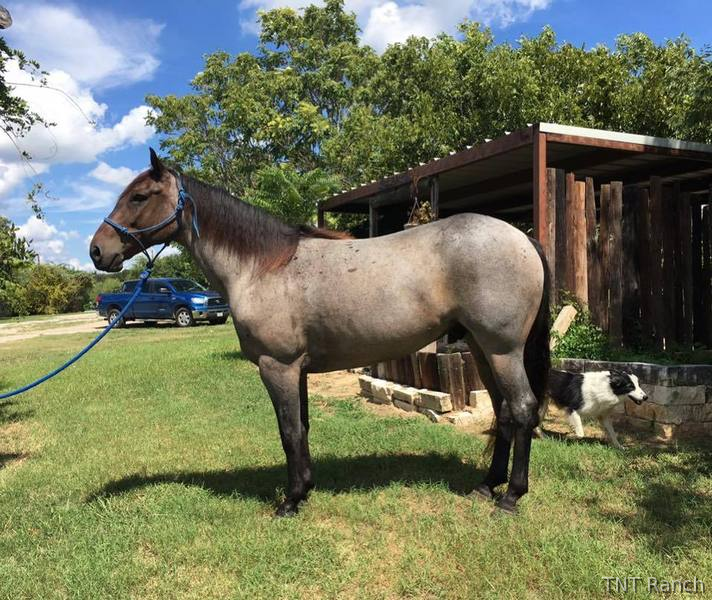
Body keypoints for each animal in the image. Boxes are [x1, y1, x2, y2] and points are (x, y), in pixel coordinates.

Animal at [90, 148, 550, 516]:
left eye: (139, 196)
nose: (97, 251)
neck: (262, 268)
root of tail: (521, 238)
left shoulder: (277, 367)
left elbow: (289, 431)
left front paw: (291, 500)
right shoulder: (297, 369)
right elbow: (303, 427)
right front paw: (306, 489)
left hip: (502, 349)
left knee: (522, 408)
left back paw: (511, 497)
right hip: (481, 347)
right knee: (504, 412)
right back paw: (486, 486)